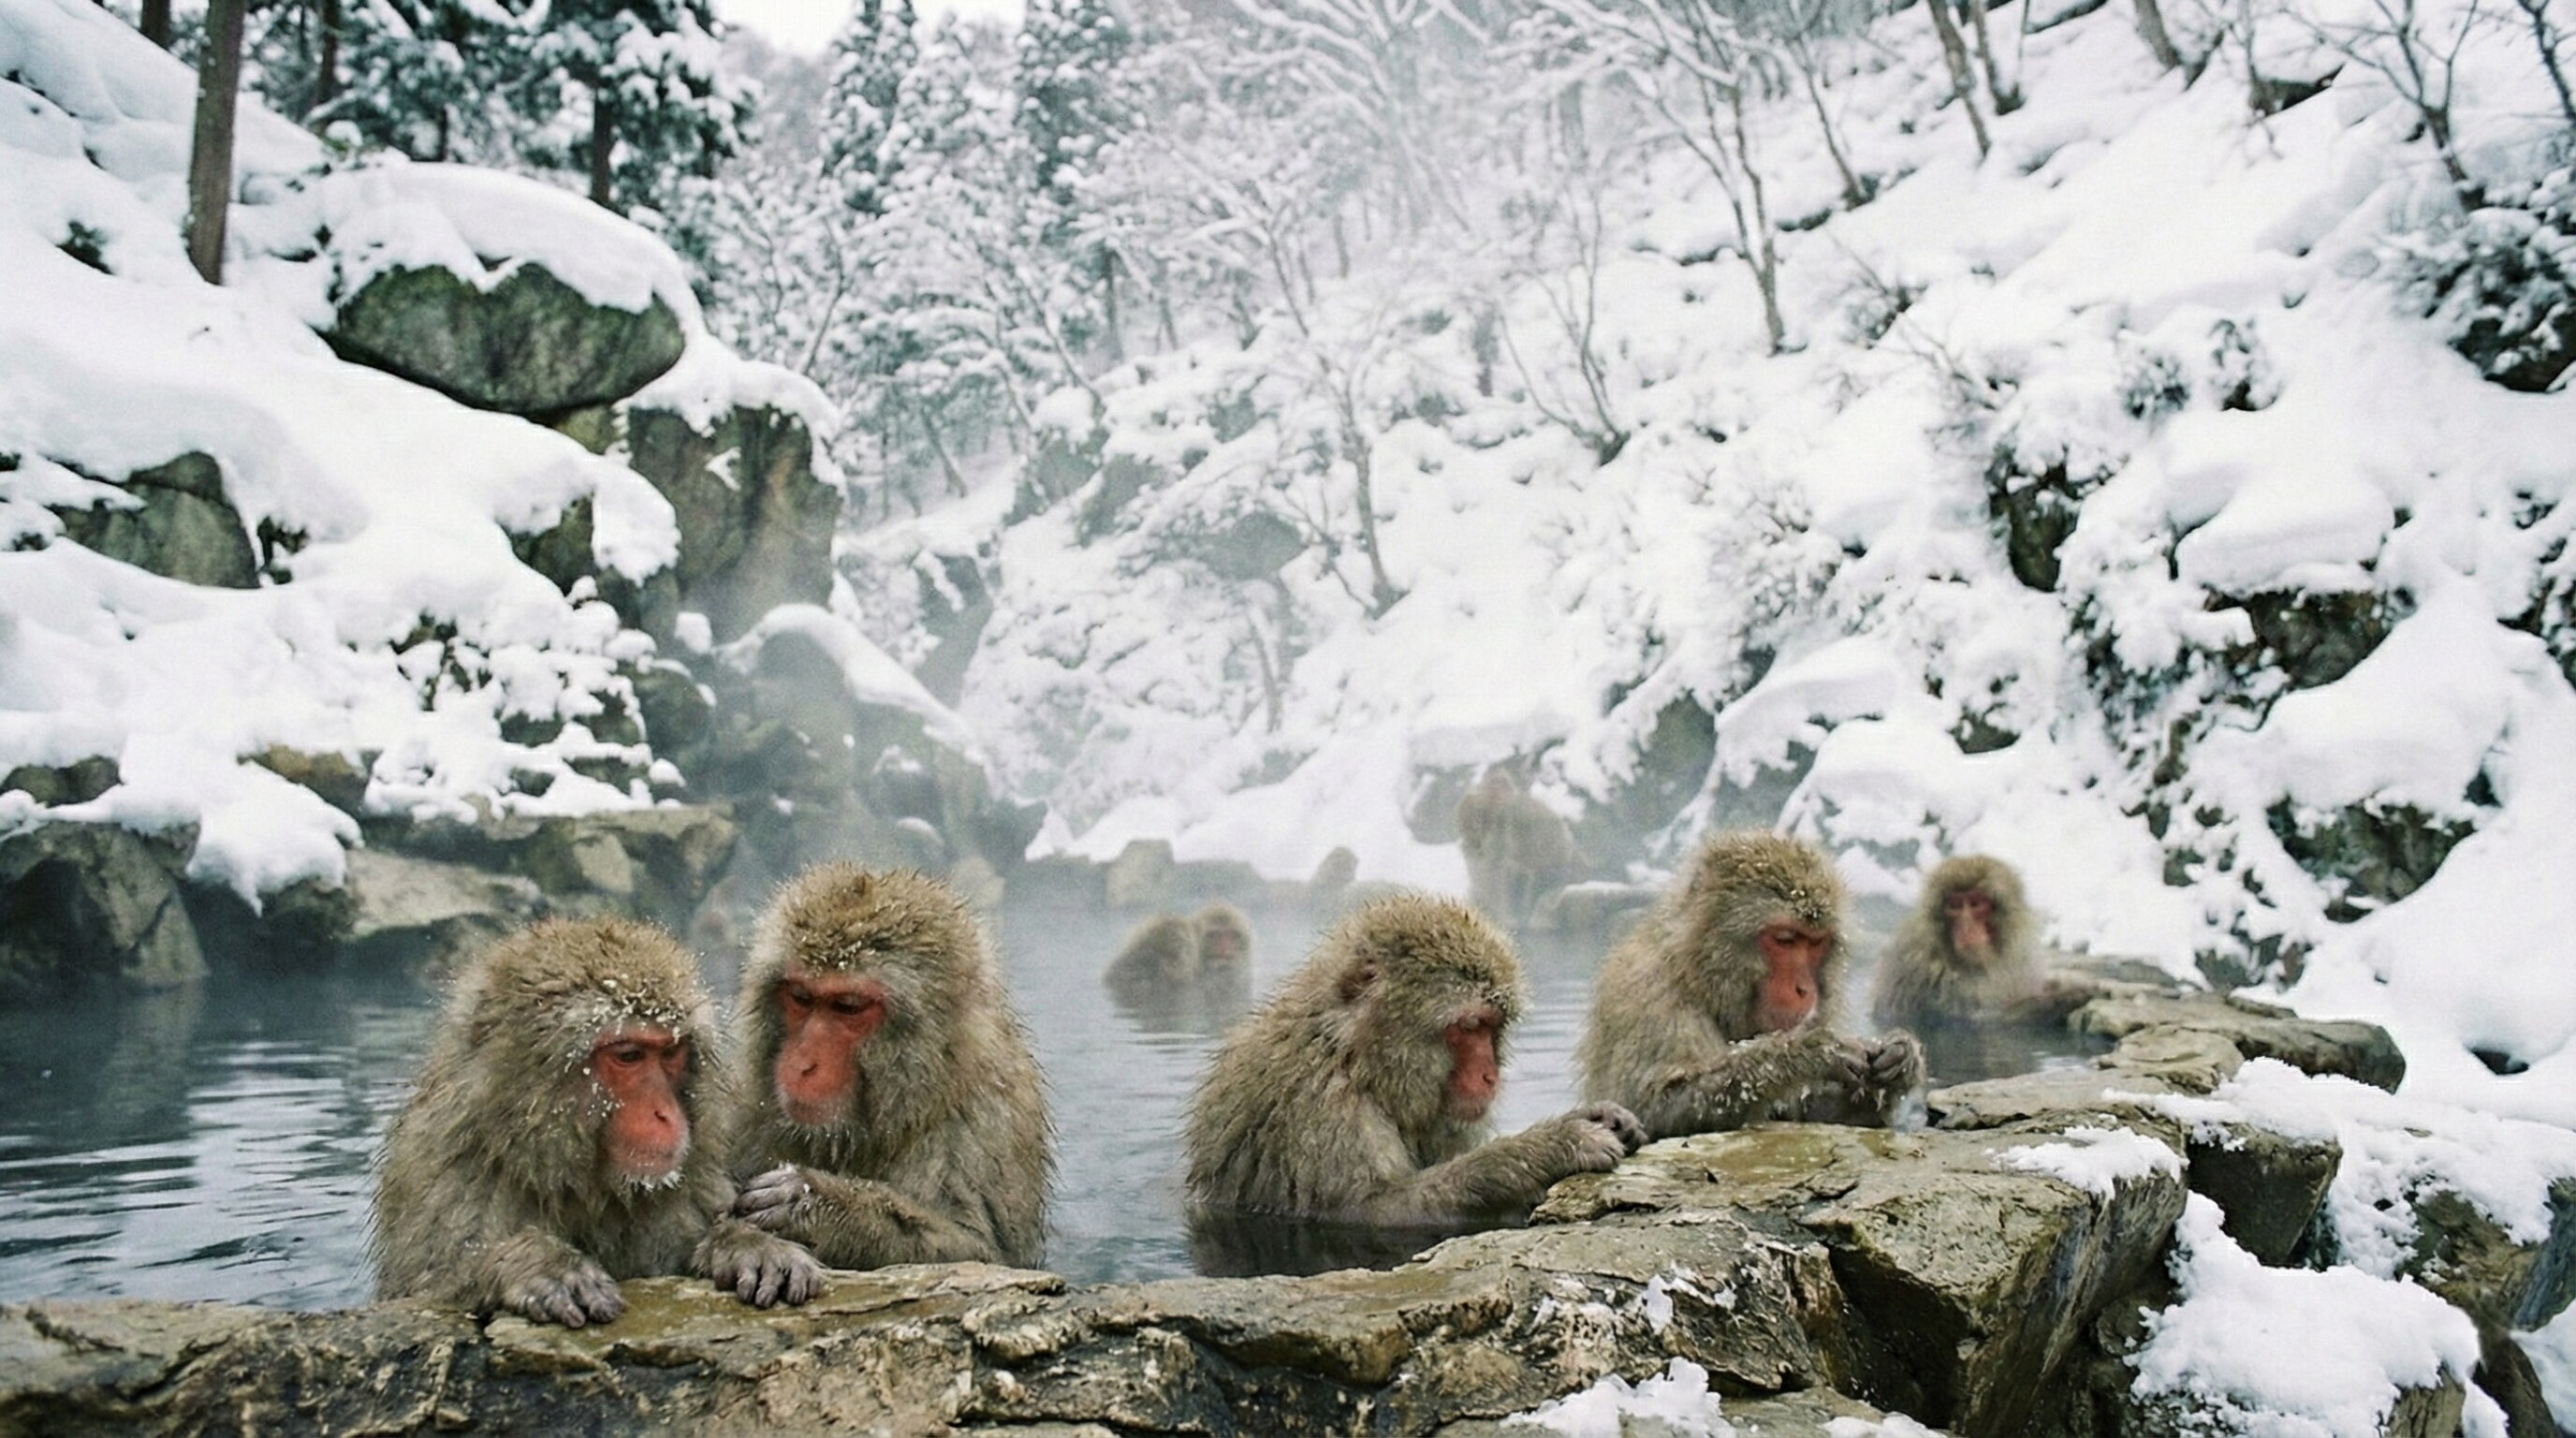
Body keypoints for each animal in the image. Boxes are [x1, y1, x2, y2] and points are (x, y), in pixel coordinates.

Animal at [372, 918, 822, 1327]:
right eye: (628, 1055)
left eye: (670, 1052)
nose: (664, 1112)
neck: (572, 1181)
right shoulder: (451, 1179)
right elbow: (424, 1288)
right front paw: (536, 1263)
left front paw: (743, 1244)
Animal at [727, 863, 1053, 1270]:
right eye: (801, 998)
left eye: (848, 1006)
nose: (803, 1064)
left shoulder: (984, 1124)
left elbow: (982, 1252)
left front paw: (817, 1203)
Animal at [1185, 891, 1646, 1226]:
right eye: (1469, 1025)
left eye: (1492, 1026)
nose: (1490, 1075)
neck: (1355, 1061)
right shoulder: (1317, 1112)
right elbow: (1367, 1210)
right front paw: (1551, 1146)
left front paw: (1600, 1115)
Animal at [1577, 831, 1924, 1140]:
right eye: (1785, 940)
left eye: (1815, 943)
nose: (1804, 989)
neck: (1700, 978)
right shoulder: (1646, 997)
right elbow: (1653, 1108)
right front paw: (1809, 1053)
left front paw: (1900, 1058)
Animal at [1873, 854, 2092, 1031]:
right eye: (1955, 906)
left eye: (1975, 904)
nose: (1967, 927)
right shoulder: (1924, 969)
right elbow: (1977, 1020)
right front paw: (2067, 999)